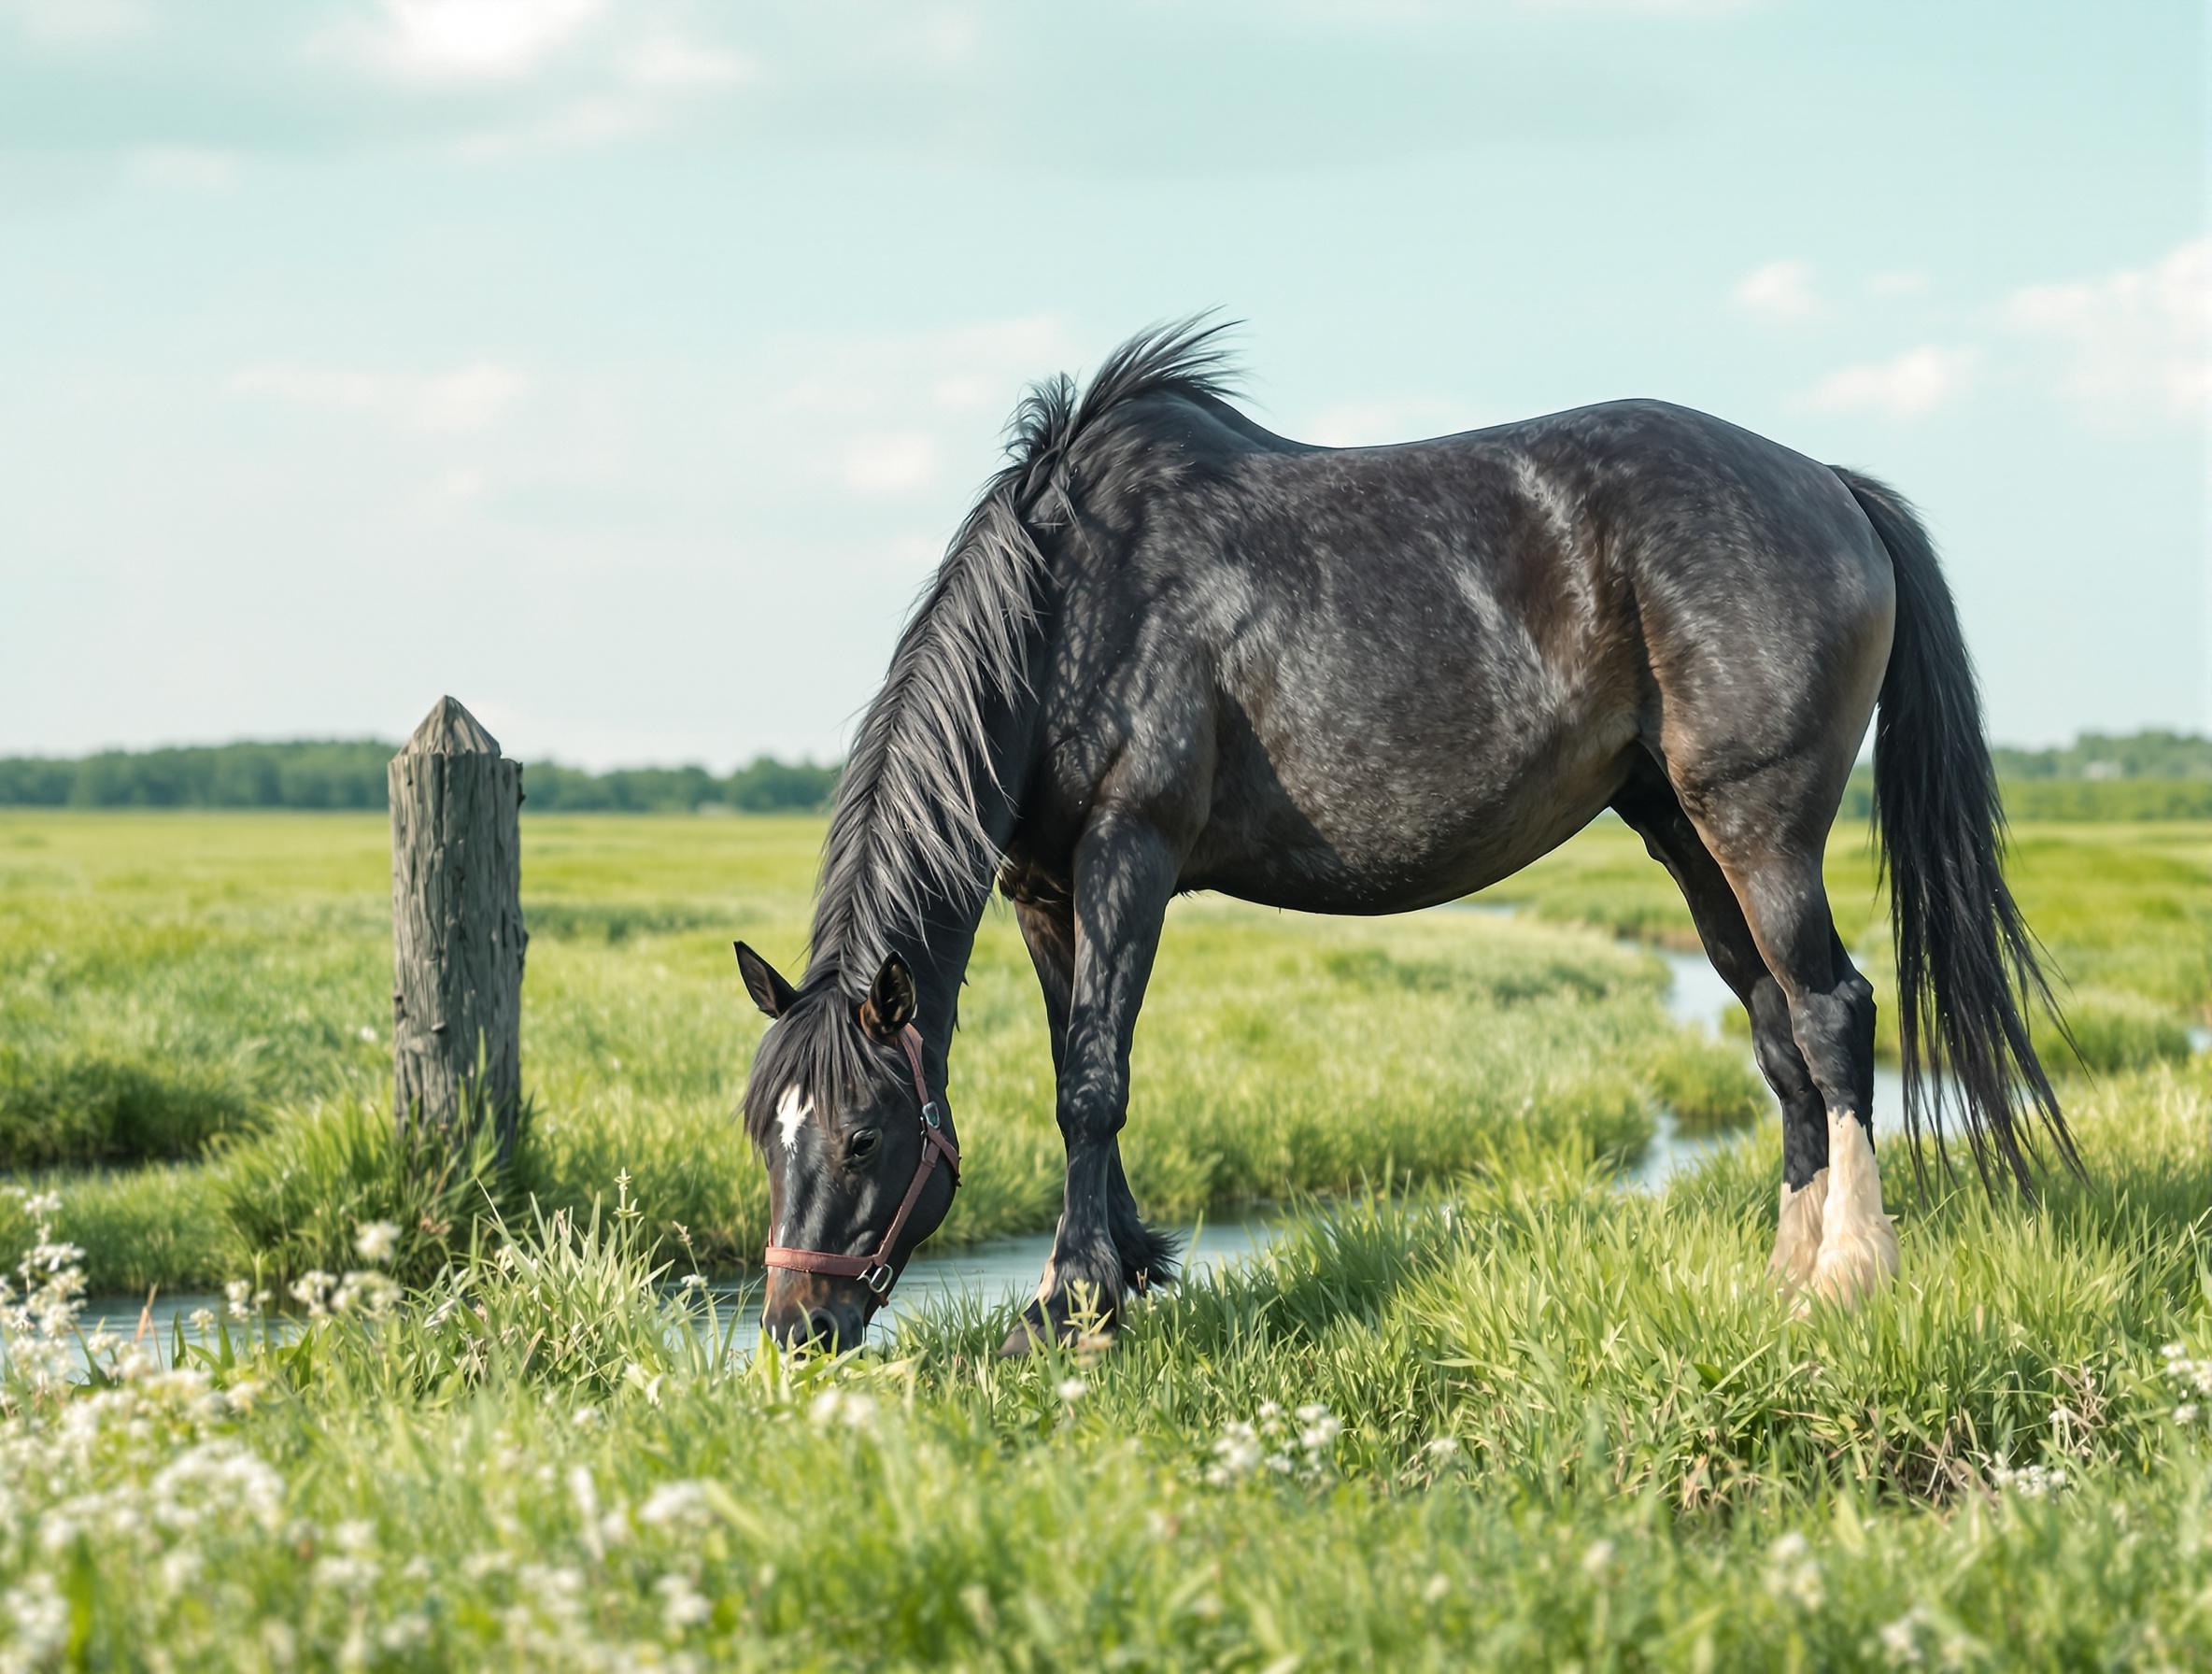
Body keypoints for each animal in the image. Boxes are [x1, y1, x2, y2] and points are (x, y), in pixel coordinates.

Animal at [734, 320, 2061, 1353]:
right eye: (762, 1130)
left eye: (862, 1135)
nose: (796, 1331)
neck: (1070, 605)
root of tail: (1829, 485)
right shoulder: (1044, 888)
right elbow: (1079, 1064)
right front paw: (1117, 1275)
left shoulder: (1129, 853)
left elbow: (1093, 1084)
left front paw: (1067, 1308)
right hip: (1683, 836)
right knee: (1779, 1028)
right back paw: (1782, 1276)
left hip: (1759, 825)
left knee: (1833, 1012)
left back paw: (1847, 1274)